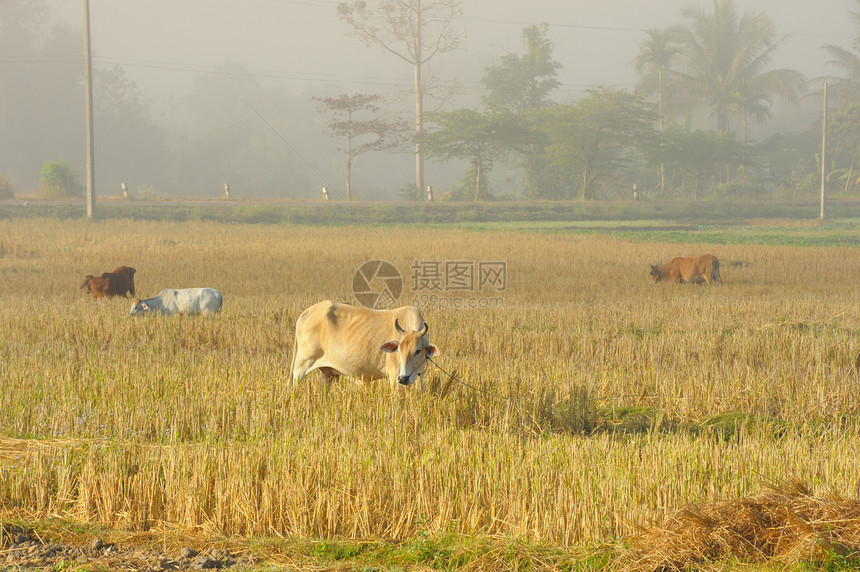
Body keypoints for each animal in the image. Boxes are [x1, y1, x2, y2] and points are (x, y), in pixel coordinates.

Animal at [290, 300, 440, 388]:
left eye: (418, 350)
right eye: (398, 349)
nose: (403, 378)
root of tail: (307, 312)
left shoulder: (418, 376)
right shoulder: (394, 376)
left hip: (328, 373)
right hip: (301, 366)